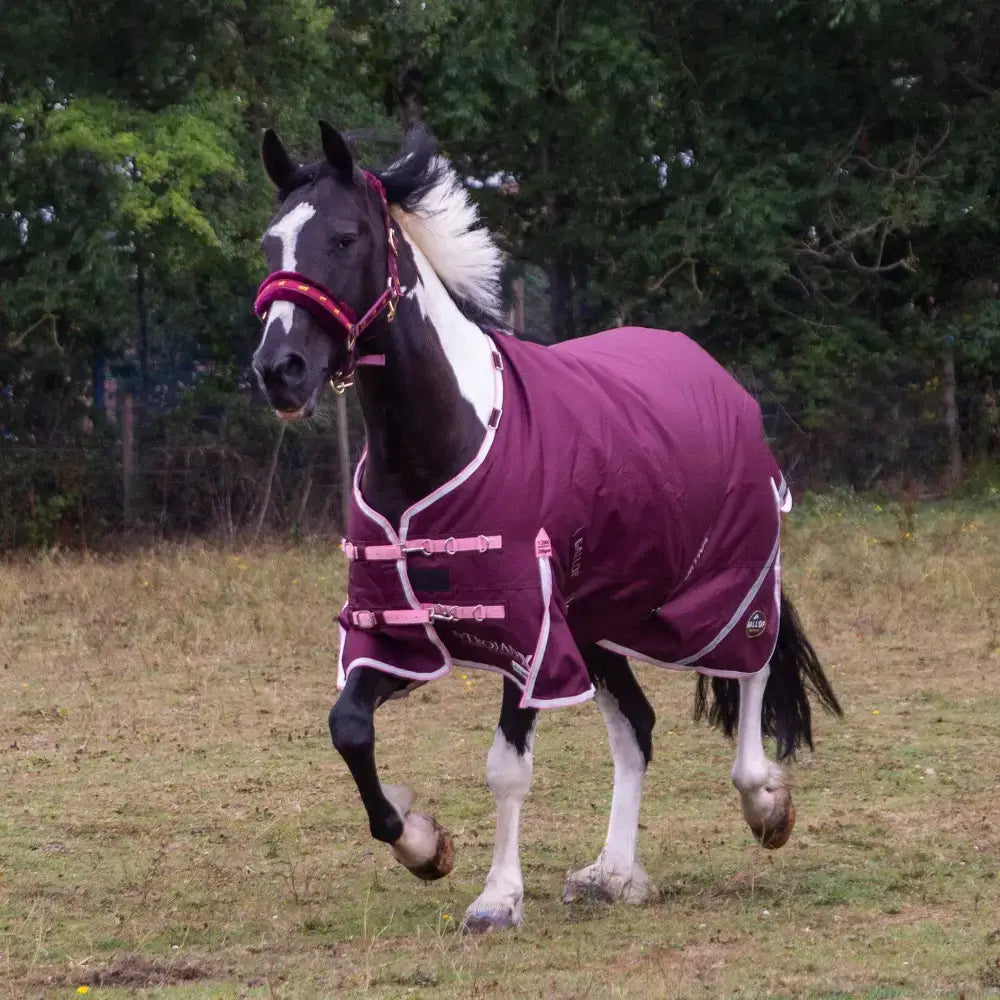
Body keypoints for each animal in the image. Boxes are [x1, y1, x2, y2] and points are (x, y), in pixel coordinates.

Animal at [250, 122, 843, 932]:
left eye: (344, 237)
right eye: (270, 243)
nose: (278, 369)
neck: (445, 441)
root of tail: (717, 376)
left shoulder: (524, 635)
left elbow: (506, 768)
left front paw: (497, 898)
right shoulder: (396, 630)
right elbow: (349, 728)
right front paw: (423, 844)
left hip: (723, 581)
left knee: (751, 663)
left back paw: (765, 803)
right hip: (600, 619)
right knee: (637, 729)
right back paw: (613, 873)